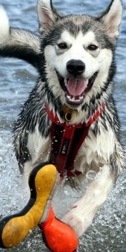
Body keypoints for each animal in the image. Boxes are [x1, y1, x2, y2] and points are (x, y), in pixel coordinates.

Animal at [0, 0, 123, 238]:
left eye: (92, 47)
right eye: (62, 45)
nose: (75, 65)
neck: (71, 121)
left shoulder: (112, 155)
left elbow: (99, 187)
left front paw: (77, 219)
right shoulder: (31, 155)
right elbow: (35, 188)